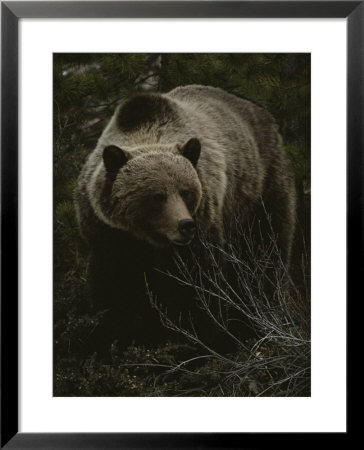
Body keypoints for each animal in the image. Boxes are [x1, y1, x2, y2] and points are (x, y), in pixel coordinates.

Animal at [76, 84, 296, 352]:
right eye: (157, 195)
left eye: (186, 191)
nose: (186, 225)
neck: (148, 238)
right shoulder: (109, 234)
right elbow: (115, 287)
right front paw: (116, 335)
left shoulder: (203, 225)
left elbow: (196, 284)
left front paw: (193, 339)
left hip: (260, 191)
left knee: (265, 254)